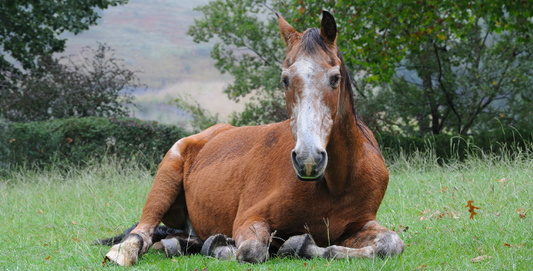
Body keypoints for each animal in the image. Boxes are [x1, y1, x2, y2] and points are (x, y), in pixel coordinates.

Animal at [102, 11, 404, 268]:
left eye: (335, 78)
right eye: (285, 79)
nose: (308, 159)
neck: (337, 183)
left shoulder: (359, 225)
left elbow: (391, 243)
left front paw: (300, 245)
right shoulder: (250, 218)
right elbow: (251, 250)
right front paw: (222, 247)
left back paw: (180, 244)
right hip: (165, 178)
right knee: (142, 232)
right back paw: (128, 252)